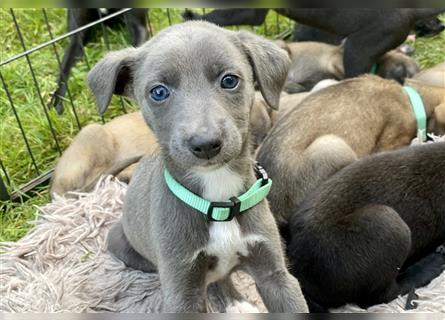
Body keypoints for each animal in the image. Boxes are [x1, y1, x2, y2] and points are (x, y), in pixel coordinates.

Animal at [87, 21, 308, 312]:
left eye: (229, 80)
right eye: (158, 91)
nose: (205, 144)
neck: (218, 200)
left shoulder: (276, 275)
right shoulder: (182, 291)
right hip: (121, 243)